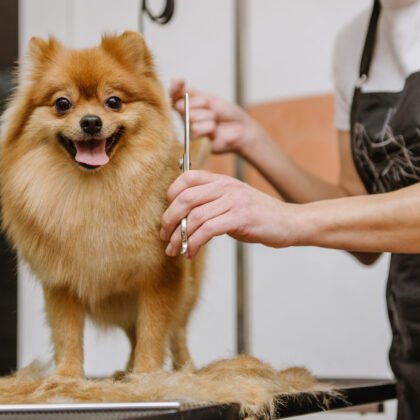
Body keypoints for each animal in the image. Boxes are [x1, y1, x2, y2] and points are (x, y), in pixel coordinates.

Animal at [0, 31, 204, 376]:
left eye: (114, 102)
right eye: (62, 104)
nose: (91, 122)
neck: (95, 190)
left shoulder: (159, 276)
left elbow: (153, 330)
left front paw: (147, 375)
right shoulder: (61, 283)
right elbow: (68, 333)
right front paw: (67, 377)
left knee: (175, 331)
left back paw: (181, 368)